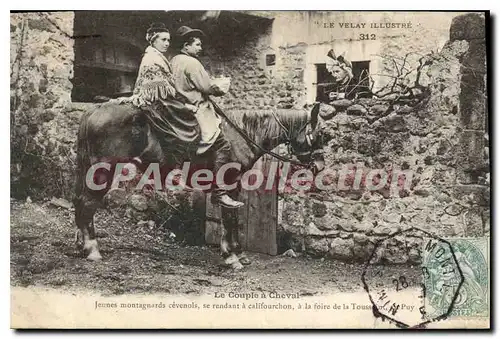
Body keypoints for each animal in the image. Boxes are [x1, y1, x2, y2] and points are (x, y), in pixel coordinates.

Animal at [72, 99, 334, 270]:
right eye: (321, 133)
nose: (320, 166)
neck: (241, 133)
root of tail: (94, 110)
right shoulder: (229, 184)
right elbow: (229, 218)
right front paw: (231, 257)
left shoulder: (234, 186)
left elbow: (232, 220)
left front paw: (238, 253)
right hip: (104, 171)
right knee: (87, 204)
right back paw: (92, 249)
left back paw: (83, 245)